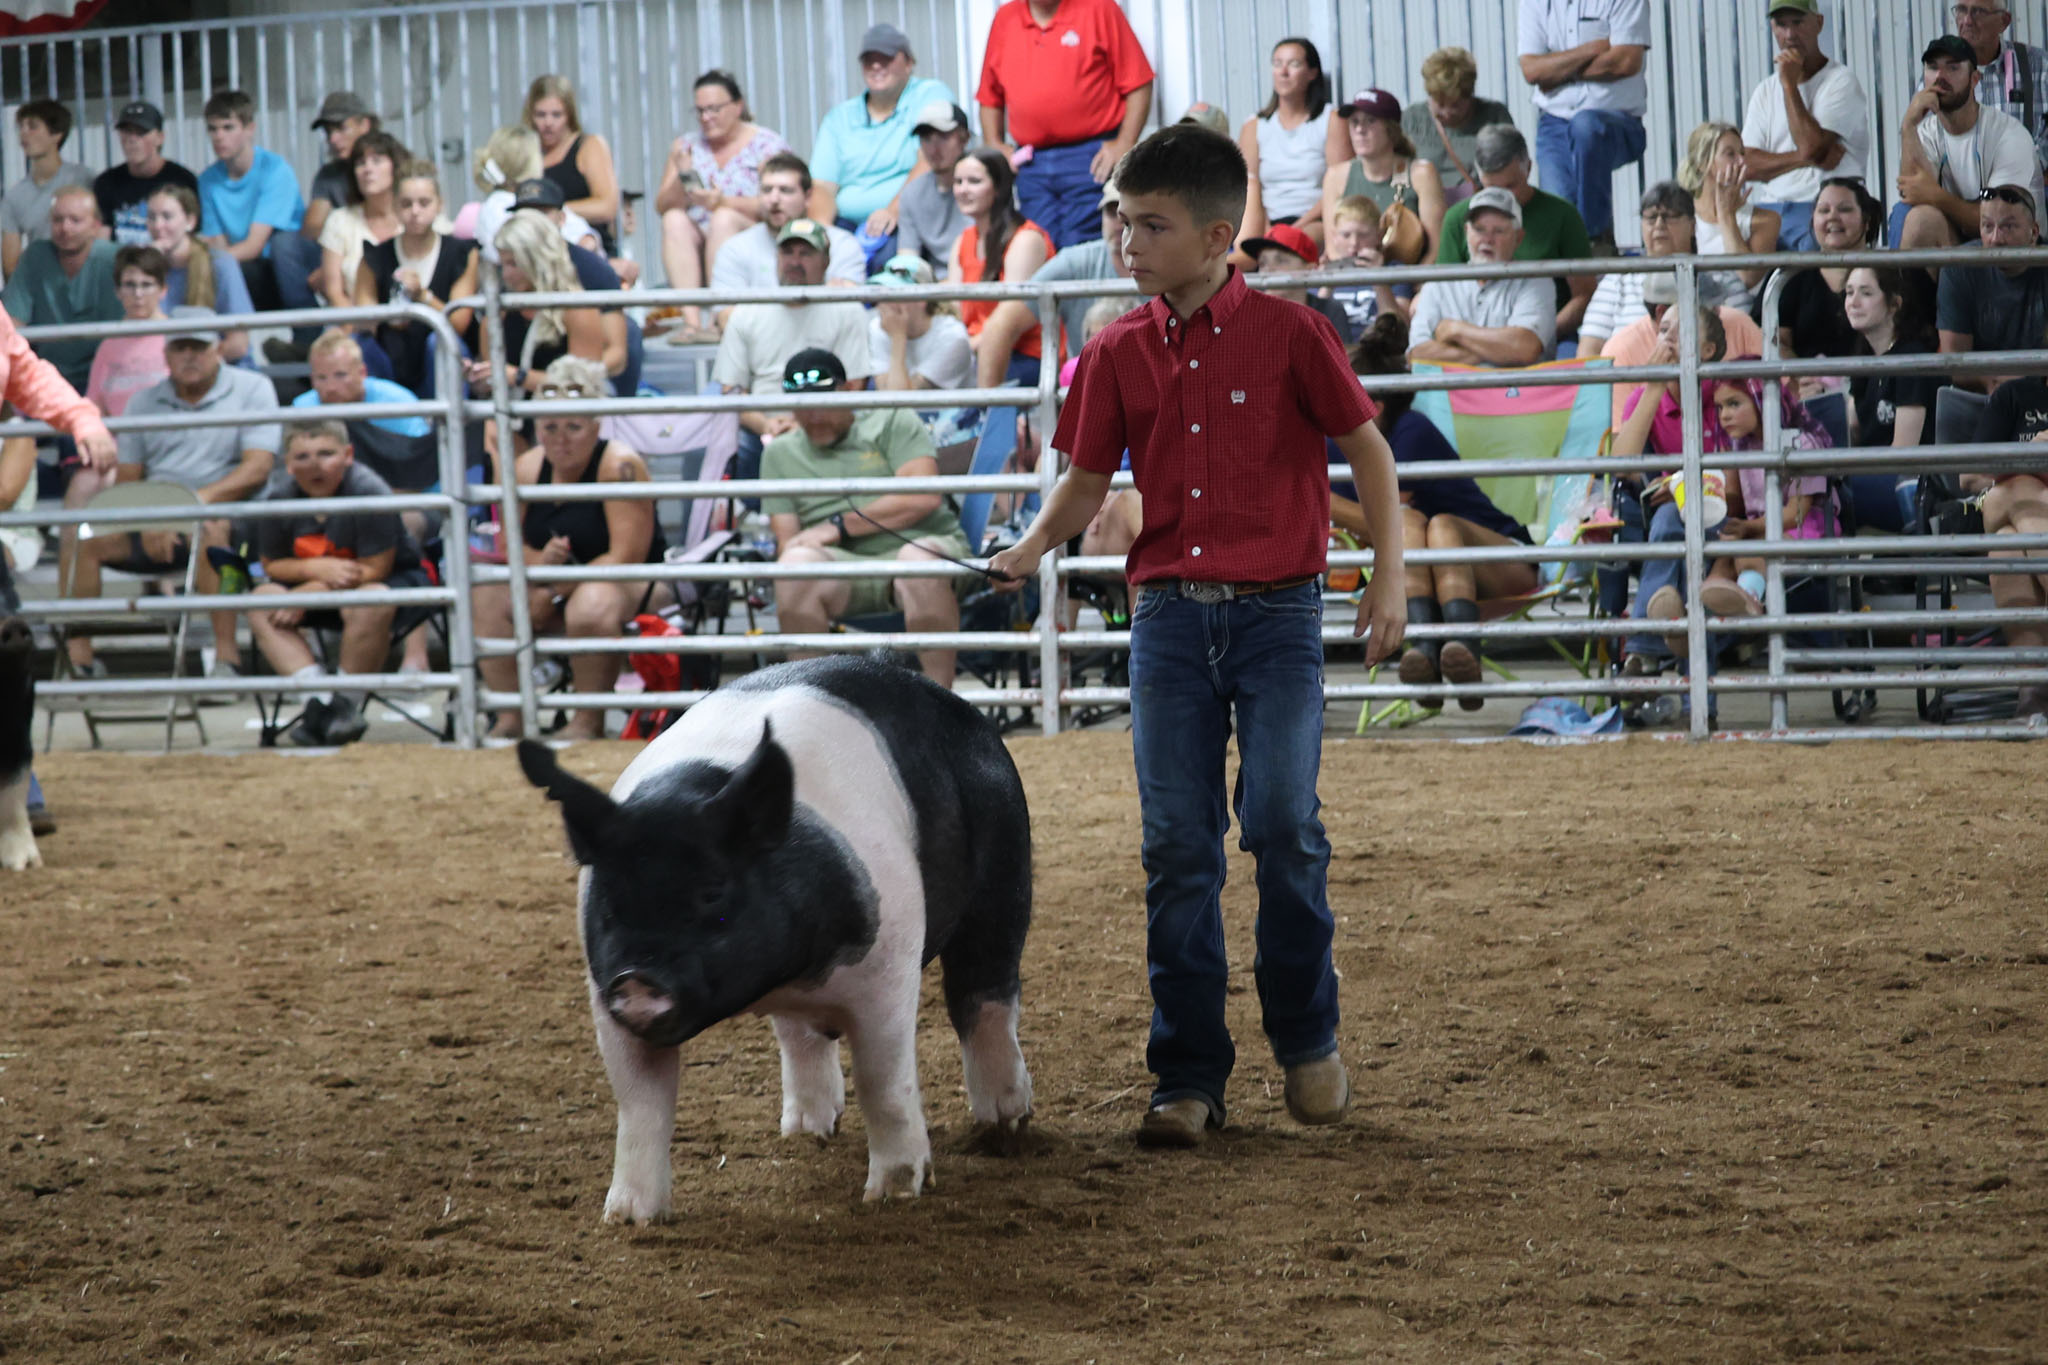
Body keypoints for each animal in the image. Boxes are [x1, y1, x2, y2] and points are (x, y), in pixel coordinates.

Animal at [518, 654, 1034, 1217]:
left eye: (713, 892)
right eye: (611, 901)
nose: (636, 981)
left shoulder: (890, 964)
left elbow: (883, 1080)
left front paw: (892, 1194)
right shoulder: (602, 992)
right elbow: (640, 1101)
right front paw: (627, 1218)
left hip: (1004, 869)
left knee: (985, 996)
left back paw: (1005, 1126)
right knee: (799, 1036)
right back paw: (806, 1132)